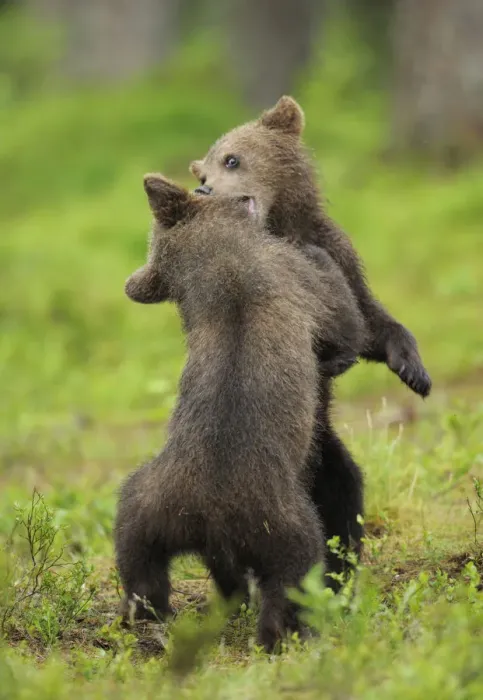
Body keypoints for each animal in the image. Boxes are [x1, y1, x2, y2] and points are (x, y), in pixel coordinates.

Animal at [114, 174, 367, 652]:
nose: (206, 186)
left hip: (150, 504)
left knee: (138, 557)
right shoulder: (299, 282)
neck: (219, 257)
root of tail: (209, 521)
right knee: (293, 573)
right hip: (282, 519)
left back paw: (148, 616)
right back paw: (283, 635)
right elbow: (343, 320)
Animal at [189, 96, 432, 588]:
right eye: (204, 173)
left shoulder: (337, 254)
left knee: (344, 493)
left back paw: (336, 575)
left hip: (324, 449)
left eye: (232, 158)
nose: (204, 191)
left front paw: (413, 368)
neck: (282, 227)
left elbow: (370, 320)